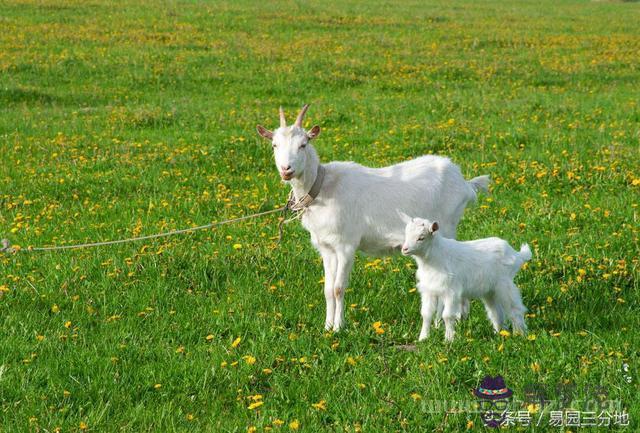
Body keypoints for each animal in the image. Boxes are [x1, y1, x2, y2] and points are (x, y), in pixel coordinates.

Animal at [256, 105, 490, 330]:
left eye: (303, 144)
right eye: (274, 145)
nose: (286, 169)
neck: (322, 187)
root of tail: (464, 182)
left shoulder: (346, 245)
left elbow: (339, 288)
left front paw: (339, 327)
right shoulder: (326, 247)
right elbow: (328, 289)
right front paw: (327, 326)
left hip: (447, 226)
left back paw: (443, 321)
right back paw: (460, 317)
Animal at [400, 213, 528, 340]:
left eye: (421, 237)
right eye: (406, 234)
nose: (404, 249)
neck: (435, 258)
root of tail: (516, 255)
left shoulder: (451, 291)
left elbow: (447, 315)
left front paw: (449, 339)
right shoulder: (429, 290)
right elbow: (426, 314)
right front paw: (423, 338)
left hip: (505, 284)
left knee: (515, 309)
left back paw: (520, 334)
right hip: (490, 290)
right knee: (495, 312)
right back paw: (498, 333)